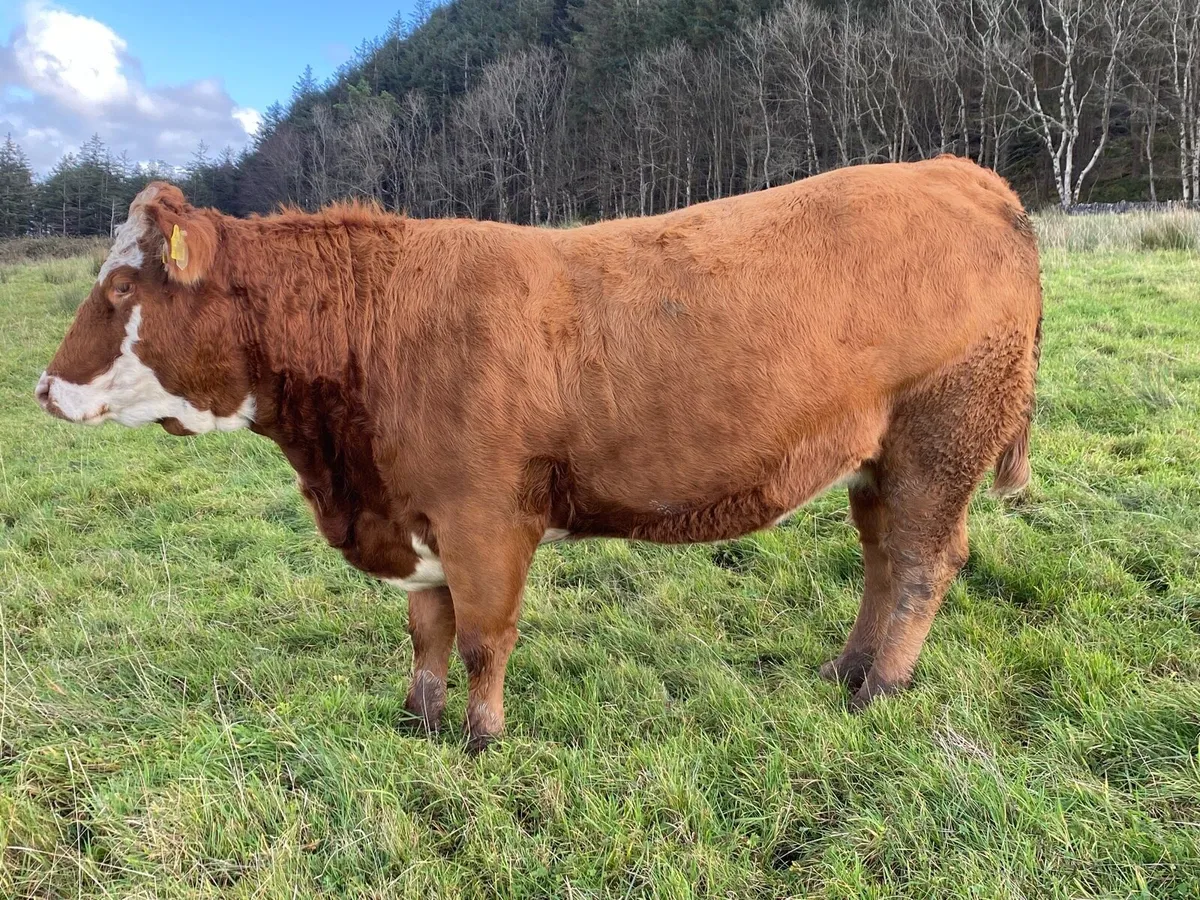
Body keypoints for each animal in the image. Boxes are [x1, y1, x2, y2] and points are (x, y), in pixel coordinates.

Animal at [37, 156, 1042, 751]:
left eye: (122, 288)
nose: (45, 388)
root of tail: (958, 172)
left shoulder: (484, 518)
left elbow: (485, 635)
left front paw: (480, 738)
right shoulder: (419, 518)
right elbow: (428, 630)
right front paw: (419, 720)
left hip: (942, 434)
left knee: (923, 561)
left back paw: (884, 688)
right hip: (875, 457)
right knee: (880, 558)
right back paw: (847, 668)